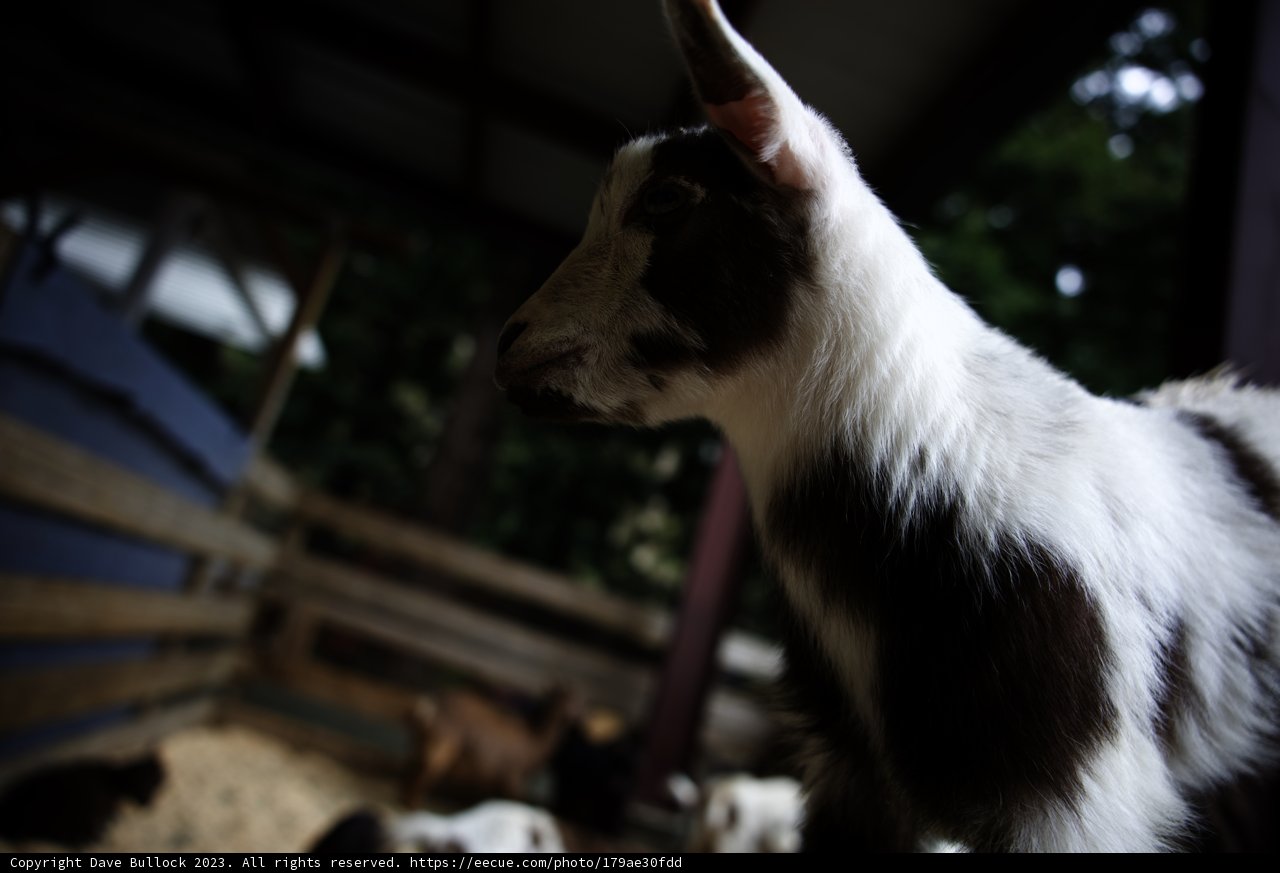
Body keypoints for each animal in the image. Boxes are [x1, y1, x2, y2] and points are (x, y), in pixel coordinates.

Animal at [403, 685, 577, 807]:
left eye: (574, 699)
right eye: (567, 700)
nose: (573, 716)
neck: (534, 743)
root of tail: (429, 705)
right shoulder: (512, 777)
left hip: (422, 742)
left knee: (412, 767)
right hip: (441, 747)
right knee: (422, 773)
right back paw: (415, 806)